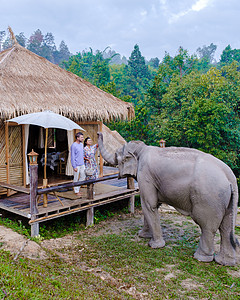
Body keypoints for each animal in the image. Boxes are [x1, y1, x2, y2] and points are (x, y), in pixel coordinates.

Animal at [98, 132, 240, 266]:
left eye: (117, 156)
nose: (99, 133)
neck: (142, 149)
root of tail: (230, 177)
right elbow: (150, 206)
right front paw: (143, 236)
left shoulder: (145, 175)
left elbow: (149, 205)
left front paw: (154, 245)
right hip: (226, 199)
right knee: (226, 228)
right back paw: (224, 262)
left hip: (209, 197)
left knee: (207, 226)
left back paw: (201, 258)